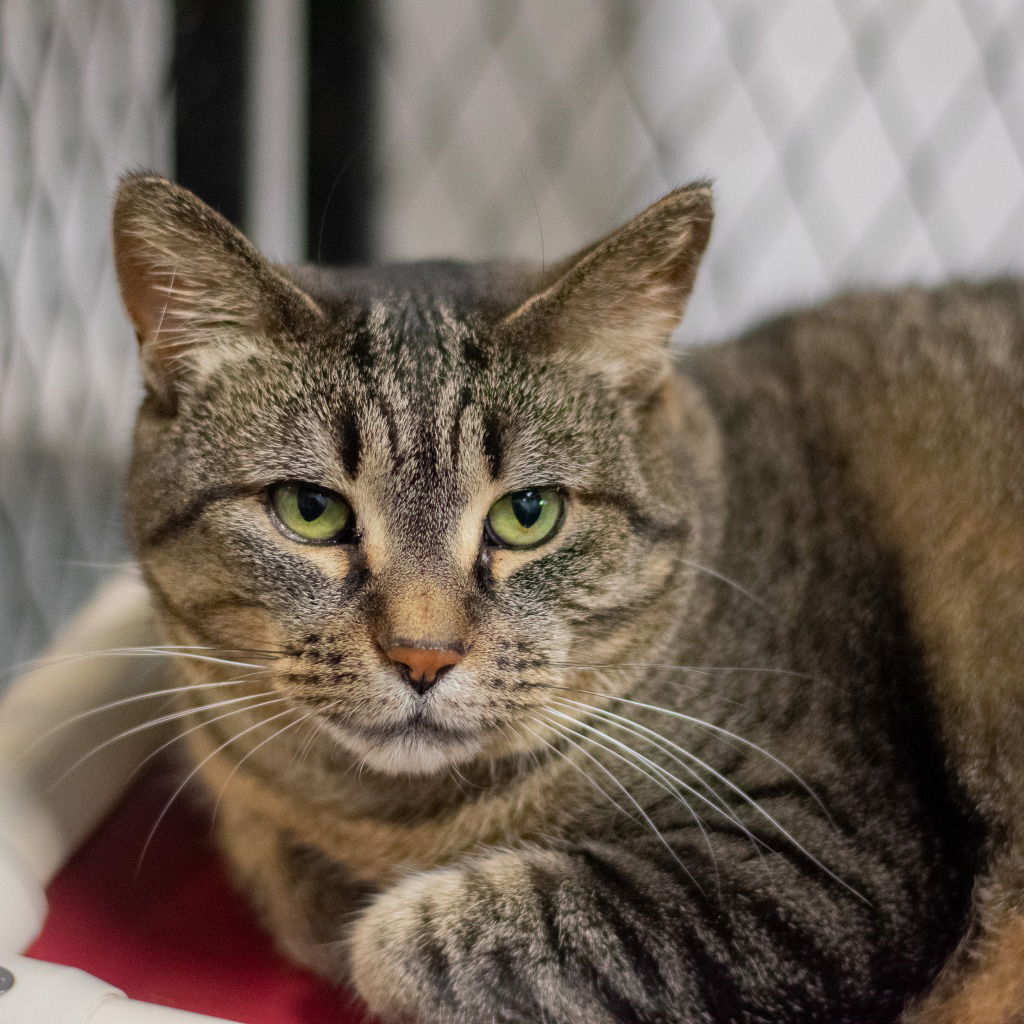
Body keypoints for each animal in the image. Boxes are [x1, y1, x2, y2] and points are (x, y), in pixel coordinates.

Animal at [110, 172, 1024, 1019]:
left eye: (527, 514)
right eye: (311, 509)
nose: (422, 655)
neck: (388, 822)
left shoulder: (829, 865)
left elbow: (408, 938)